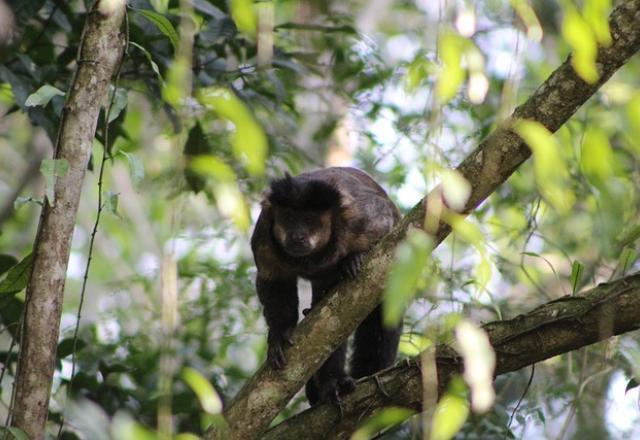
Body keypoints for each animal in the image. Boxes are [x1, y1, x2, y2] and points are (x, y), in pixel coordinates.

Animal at [249, 166, 400, 406]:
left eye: (310, 221)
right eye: (289, 218)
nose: (298, 236)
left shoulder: (357, 218)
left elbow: (383, 218)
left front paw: (355, 258)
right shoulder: (264, 232)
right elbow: (273, 281)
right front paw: (279, 334)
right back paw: (330, 385)